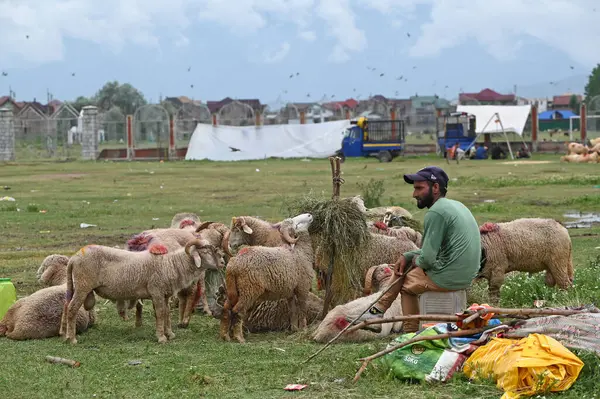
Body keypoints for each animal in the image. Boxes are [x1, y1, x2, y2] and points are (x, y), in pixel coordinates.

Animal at [60, 239, 225, 346]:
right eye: (205, 251)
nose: (223, 262)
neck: (171, 264)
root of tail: (74, 258)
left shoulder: (165, 294)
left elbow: (166, 313)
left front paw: (170, 334)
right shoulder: (156, 291)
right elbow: (160, 313)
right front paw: (161, 337)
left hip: (75, 286)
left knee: (66, 306)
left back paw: (66, 335)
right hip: (83, 285)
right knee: (72, 308)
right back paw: (72, 339)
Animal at [219, 214, 314, 342]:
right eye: (296, 224)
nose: (310, 215)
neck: (300, 251)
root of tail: (234, 264)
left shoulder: (290, 291)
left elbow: (293, 310)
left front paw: (295, 329)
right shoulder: (303, 288)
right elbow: (303, 309)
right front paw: (303, 329)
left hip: (234, 290)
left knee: (226, 309)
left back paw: (225, 335)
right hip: (249, 290)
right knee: (238, 311)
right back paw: (239, 338)